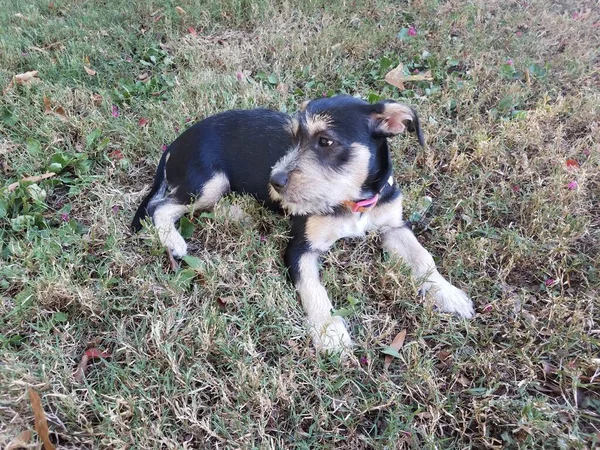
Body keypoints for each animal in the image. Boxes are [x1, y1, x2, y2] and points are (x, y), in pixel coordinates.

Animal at [131, 96, 474, 356]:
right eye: (293, 138)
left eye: (325, 141)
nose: (275, 181)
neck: (352, 201)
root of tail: (174, 143)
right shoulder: (300, 248)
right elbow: (313, 287)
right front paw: (329, 332)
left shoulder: (395, 226)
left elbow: (423, 258)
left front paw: (448, 294)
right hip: (208, 183)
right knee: (159, 208)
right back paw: (173, 240)